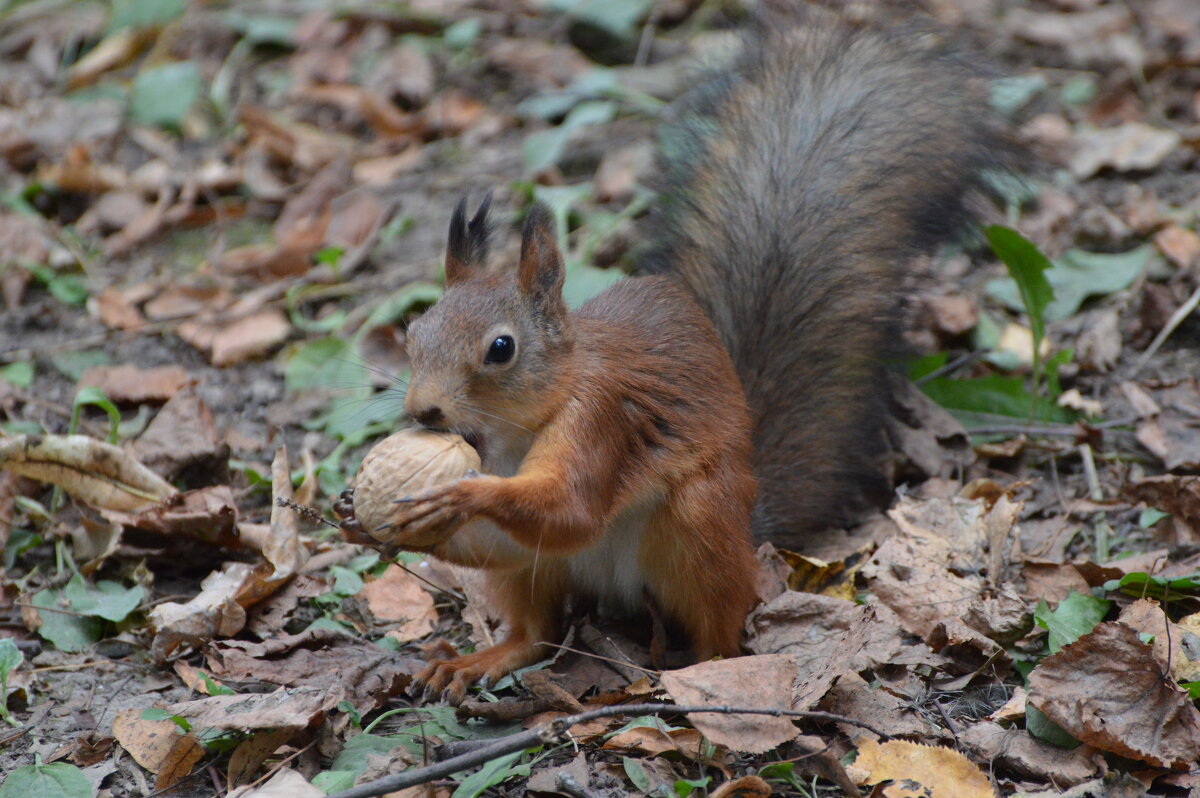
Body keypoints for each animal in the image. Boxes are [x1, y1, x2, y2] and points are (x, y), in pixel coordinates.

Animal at [367, 10, 1003, 696]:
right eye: (413, 333)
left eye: (501, 349)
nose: (423, 411)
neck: (514, 432)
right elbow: (515, 540)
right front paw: (368, 518)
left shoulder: (603, 419)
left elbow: (572, 509)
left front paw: (460, 498)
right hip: (541, 577)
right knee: (534, 629)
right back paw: (482, 658)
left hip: (699, 525)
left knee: (721, 627)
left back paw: (699, 670)